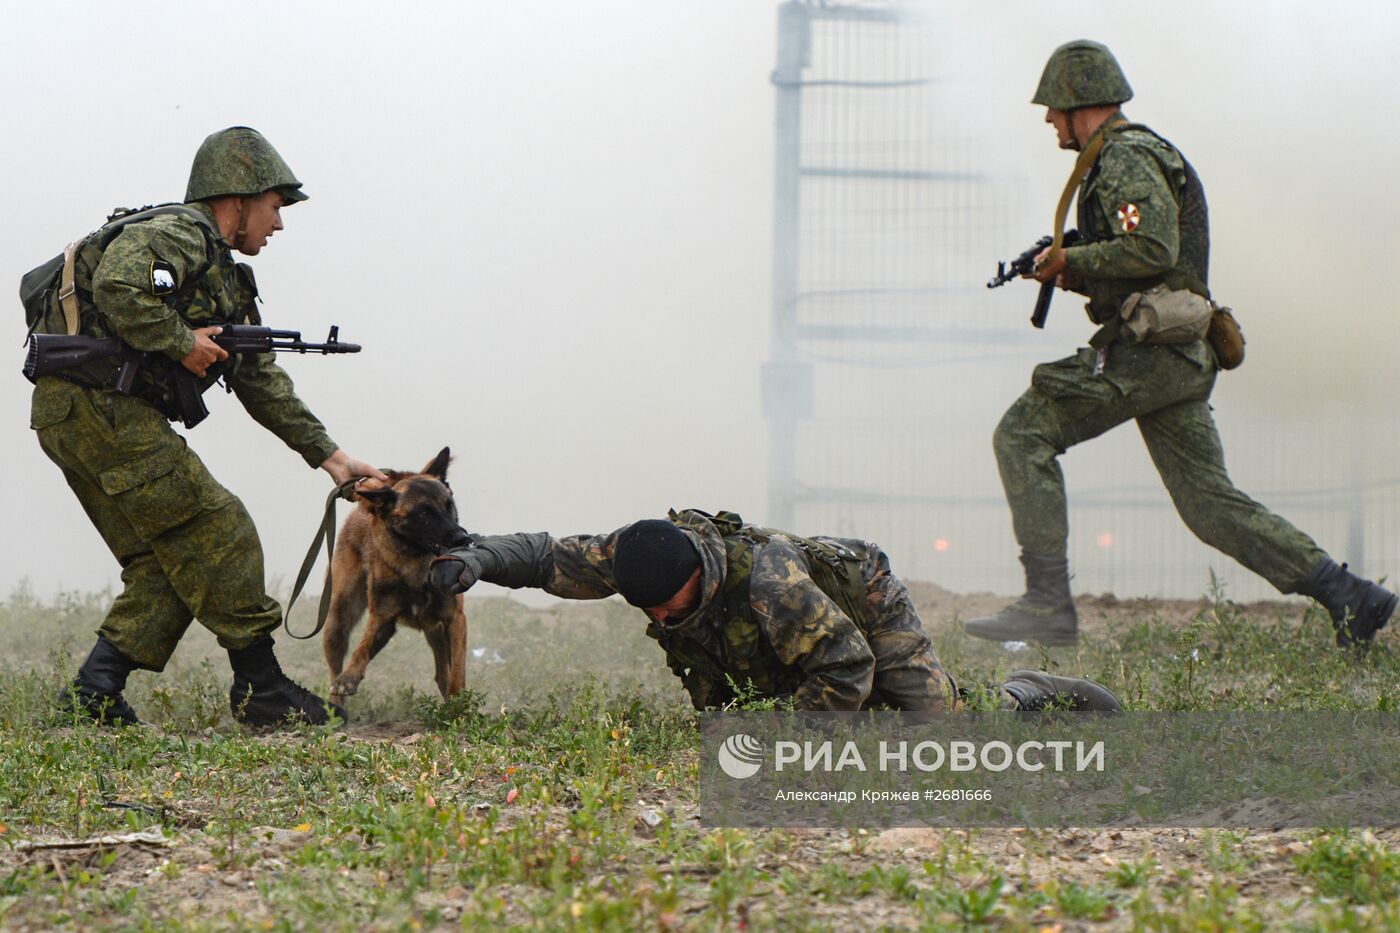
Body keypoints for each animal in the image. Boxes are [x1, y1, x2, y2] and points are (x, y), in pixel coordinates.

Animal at [320, 445, 473, 706]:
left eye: (449, 505)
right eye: (423, 513)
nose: (463, 539)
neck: (417, 563)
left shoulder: (454, 619)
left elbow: (457, 674)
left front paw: (460, 706)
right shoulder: (382, 617)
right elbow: (362, 647)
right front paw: (348, 677)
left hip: (436, 630)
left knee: (443, 674)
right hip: (338, 618)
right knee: (334, 666)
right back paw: (335, 708)